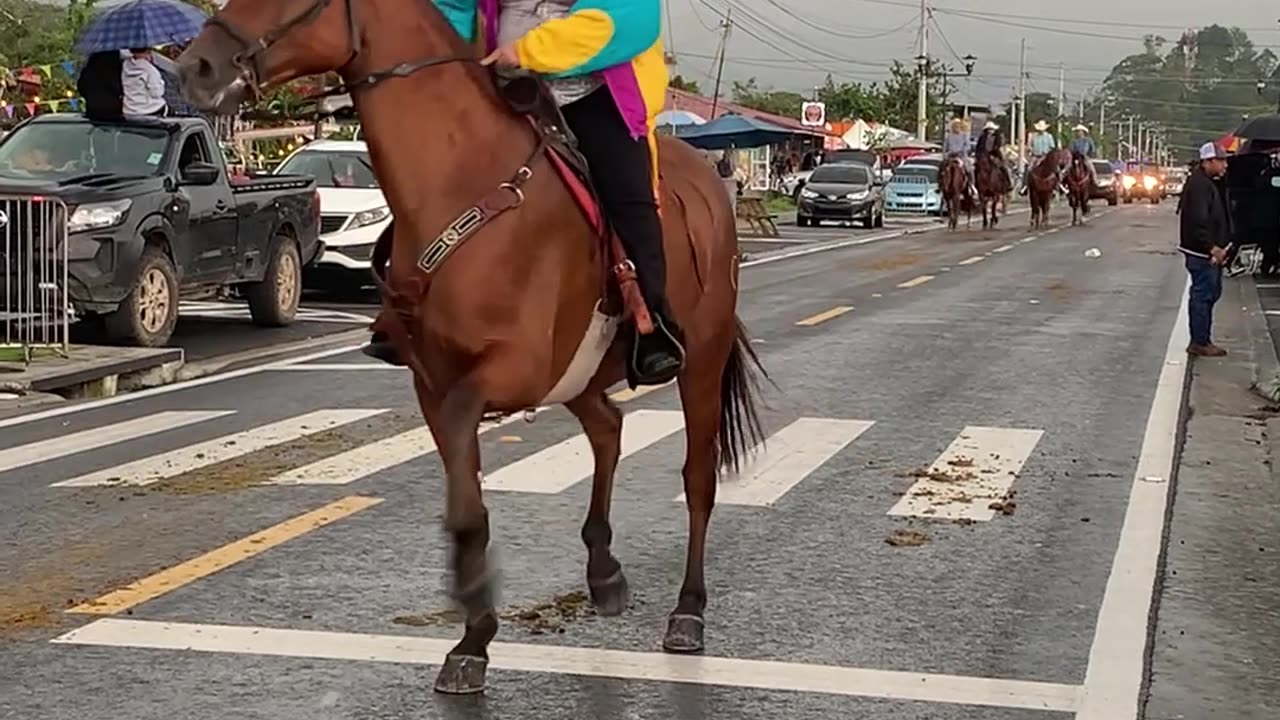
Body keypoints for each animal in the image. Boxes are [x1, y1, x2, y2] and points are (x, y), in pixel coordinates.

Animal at [175, 0, 762, 691]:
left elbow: (468, 482)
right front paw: (472, 633)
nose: (195, 67)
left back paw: (688, 610)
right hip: (582, 372)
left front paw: (472, 612)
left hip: (700, 359)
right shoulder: (432, 382)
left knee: (697, 478)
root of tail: (709, 182)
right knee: (608, 429)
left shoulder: (510, 371)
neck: (463, 183)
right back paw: (603, 571)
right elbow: (466, 504)